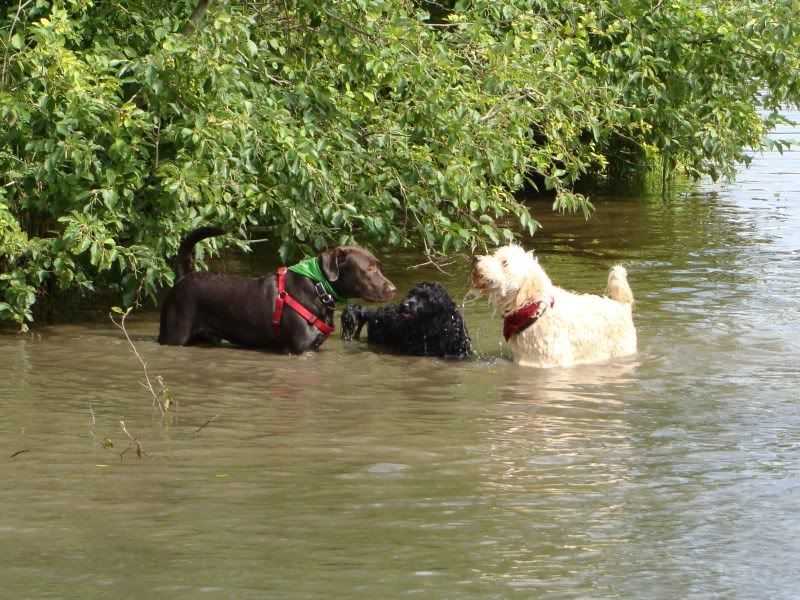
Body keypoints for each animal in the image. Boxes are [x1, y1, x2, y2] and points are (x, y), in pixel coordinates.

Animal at [159, 227, 396, 354]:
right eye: (369, 268)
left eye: (377, 265)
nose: (393, 289)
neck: (319, 288)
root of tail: (183, 278)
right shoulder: (299, 349)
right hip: (175, 334)